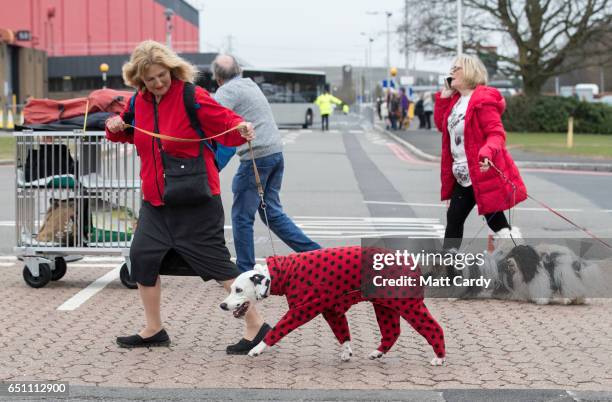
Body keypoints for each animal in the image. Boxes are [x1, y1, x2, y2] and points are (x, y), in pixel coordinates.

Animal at [220, 247, 444, 366]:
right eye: (232, 288)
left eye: (238, 290)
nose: (222, 305)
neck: (281, 274)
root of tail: (412, 262)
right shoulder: (332, 312)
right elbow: (343, 333)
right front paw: (346, 352)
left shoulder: (301, 310)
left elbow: (276, 330)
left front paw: (257, 348)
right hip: (384, 308)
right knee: (392, 333)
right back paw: (378, 352)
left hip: (409, 306)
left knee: (434, 328)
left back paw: (439, 357)